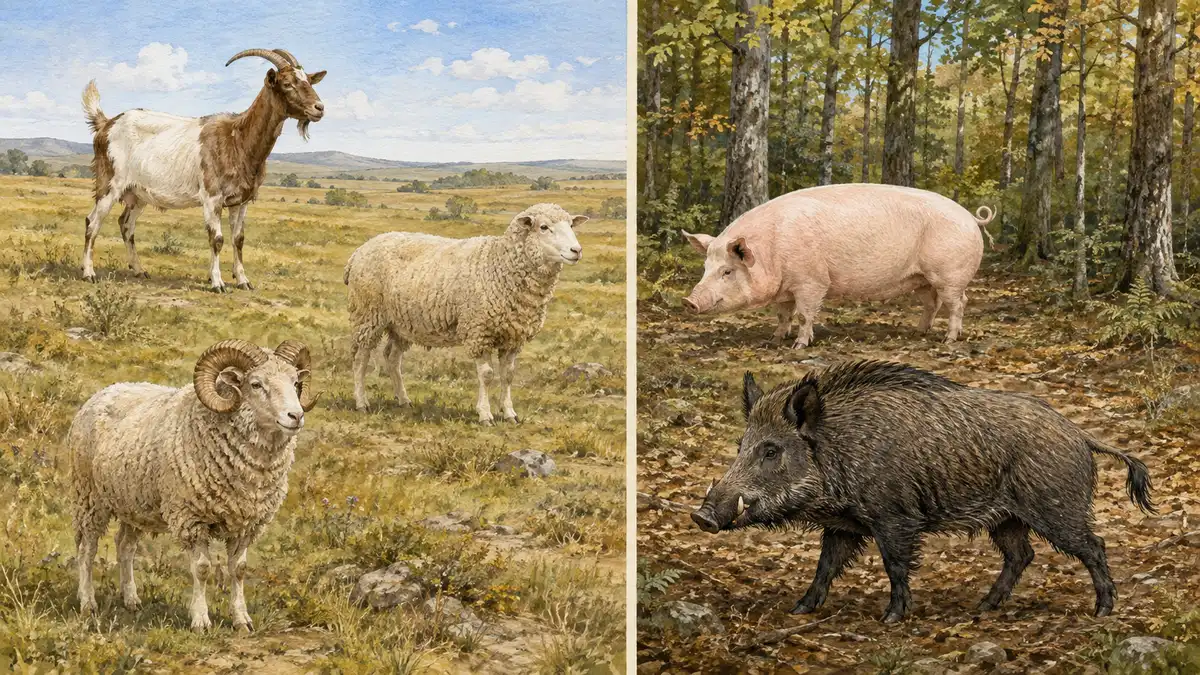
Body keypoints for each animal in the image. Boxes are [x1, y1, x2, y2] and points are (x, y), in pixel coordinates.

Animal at [68, 339, 318, 631]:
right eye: (256, 384)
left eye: (295, 382)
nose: (296, 416)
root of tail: (105, 391)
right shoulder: (191, 519)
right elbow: (202, 569)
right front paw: (201, 620)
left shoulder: (246, 523)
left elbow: (239, 570)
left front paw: (241, 619)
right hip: (89, 497)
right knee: (87, 549)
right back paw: (88, 603)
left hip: (133, 503)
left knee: (125, 547)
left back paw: (131, 599)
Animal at [80, 48, 326, 292]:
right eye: (287, 83)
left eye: (308, 80)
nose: (319, 108)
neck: (238, 139)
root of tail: (106, 124)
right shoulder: (212, 197)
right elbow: (216, 239)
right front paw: (217, 283)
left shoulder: (240, 202)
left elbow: (238, 239)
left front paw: (243, 280)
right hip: (109, 183)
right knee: (92, 222)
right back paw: (88, 273)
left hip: (137, 194)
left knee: (126, 225)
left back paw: (139, 270)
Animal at [344, 203, 587, 424]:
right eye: (544, 227)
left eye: (571, 225)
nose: (576, 250)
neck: (499, 264)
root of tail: (358, 251)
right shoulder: (479, 331)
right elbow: (487, 375)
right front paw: (485, 414)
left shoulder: (513, 337)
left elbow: (508, 375)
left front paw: (509, 413)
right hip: (368, 314)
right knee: (360, 359)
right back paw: (361, 402)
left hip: (401, 323)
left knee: (393, 359)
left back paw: (404, 400)